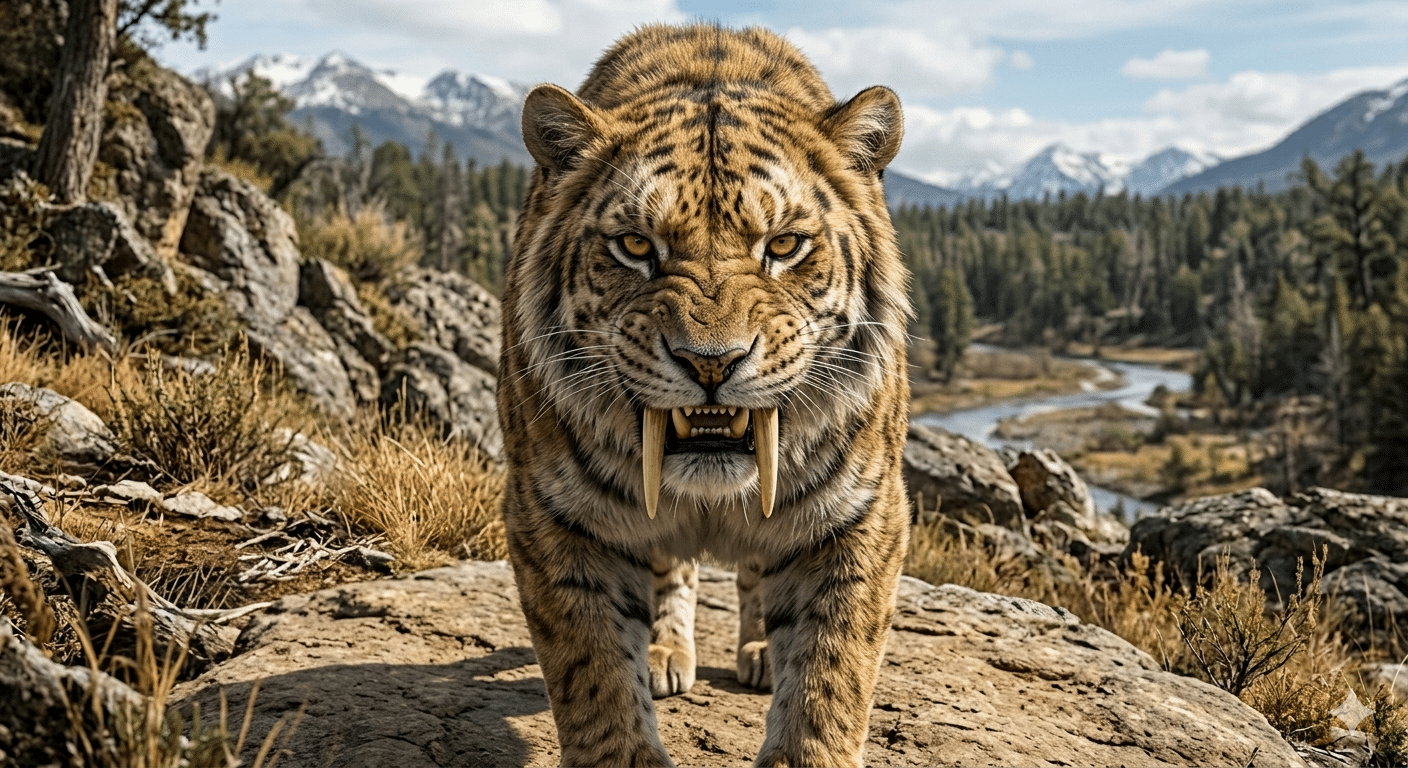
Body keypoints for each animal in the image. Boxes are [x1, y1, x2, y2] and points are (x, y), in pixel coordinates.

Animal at [498, 23, 911, 768]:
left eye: (784, 244)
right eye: (636, 246)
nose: (711, 362)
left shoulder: (861, 514)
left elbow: (831, 672)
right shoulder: (553, 515)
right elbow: (592, 672)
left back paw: (759, 651)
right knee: (671, 570)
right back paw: (667, 652)